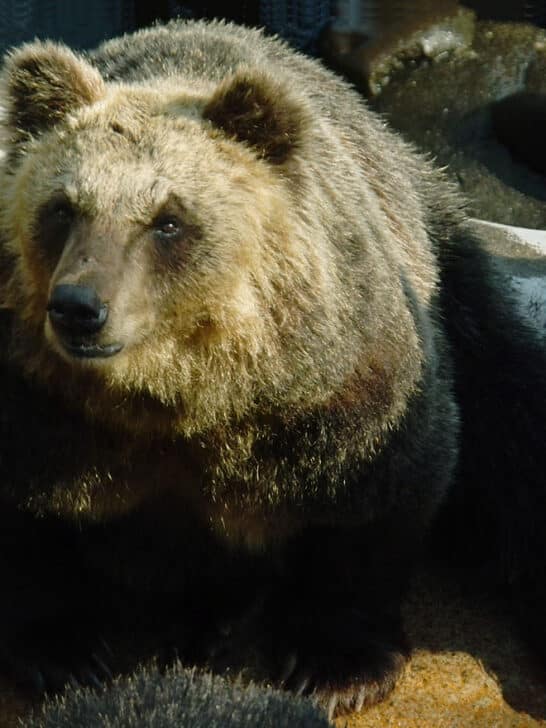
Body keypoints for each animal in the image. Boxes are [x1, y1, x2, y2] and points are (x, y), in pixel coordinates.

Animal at [0, 18, 545, 721]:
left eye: (168, 219)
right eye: (63, 207)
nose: (78, 308)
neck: (180, 395)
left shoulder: (333, 383)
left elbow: (380, 493)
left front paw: (334, 665)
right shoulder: (40, 403)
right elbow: (28, 522)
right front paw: (65, 651)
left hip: (453, 272)